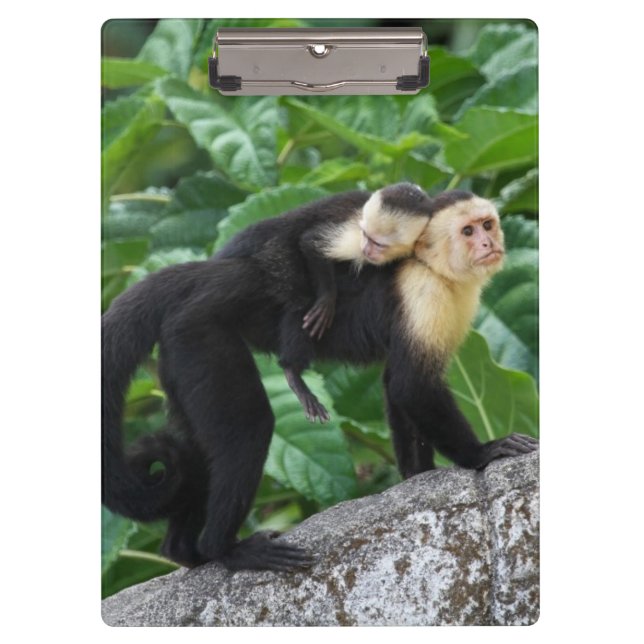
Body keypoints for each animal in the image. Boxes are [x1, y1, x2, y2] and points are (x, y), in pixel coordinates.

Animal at [215, 182, 432, 422]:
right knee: (299, 297)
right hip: (274, 252)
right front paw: (328, 299)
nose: (366, 249)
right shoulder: (354, 232)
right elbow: (311, 243)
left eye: (378, 243)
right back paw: (293, 371)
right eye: (366, 236)